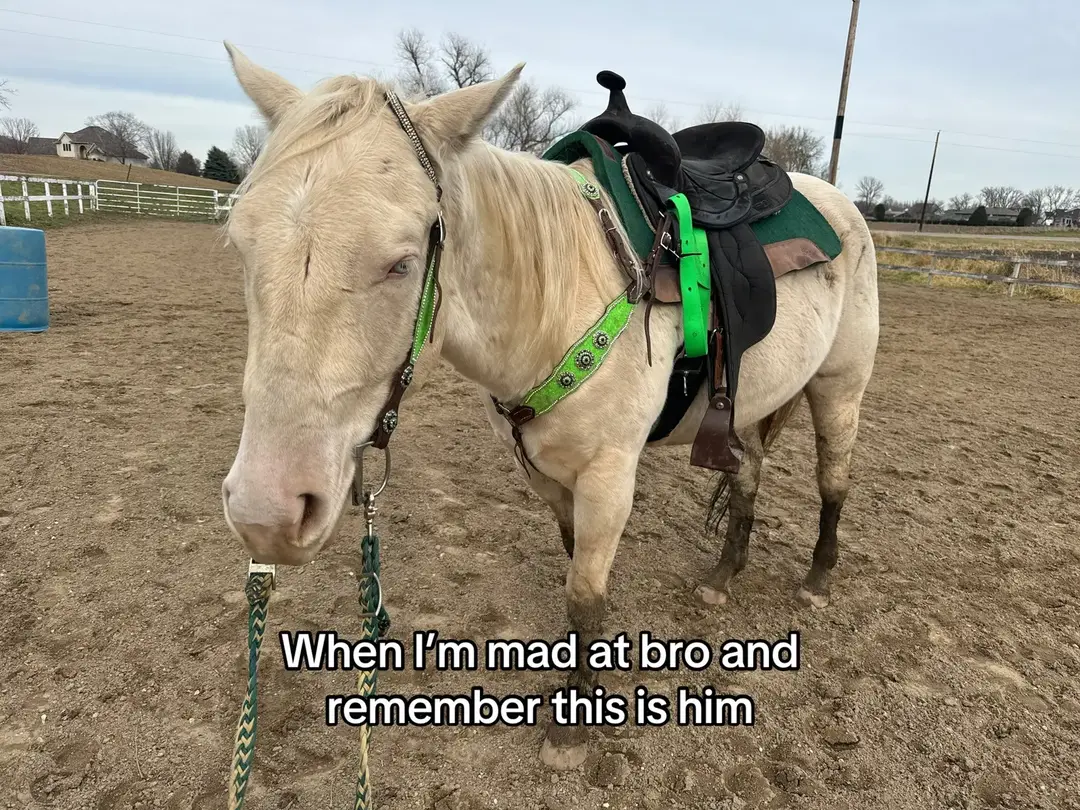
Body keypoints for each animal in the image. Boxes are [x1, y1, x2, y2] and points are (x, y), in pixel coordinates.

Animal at [217, 44, 876, 773]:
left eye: (401, 263)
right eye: (240, 243)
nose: (268, 514)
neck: (558, 296)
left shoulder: (609, 478)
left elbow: (584, 595)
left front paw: (574, 723)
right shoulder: (545, 472)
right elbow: (572, 569)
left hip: (840, 387)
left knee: (833, 479)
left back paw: (817, 577)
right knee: (750, 476)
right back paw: (723, 575)